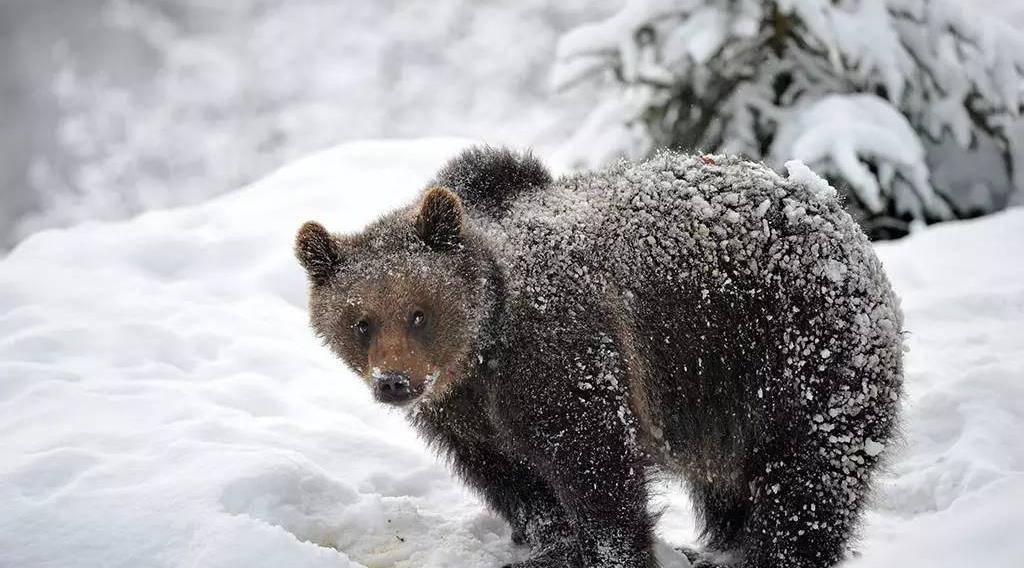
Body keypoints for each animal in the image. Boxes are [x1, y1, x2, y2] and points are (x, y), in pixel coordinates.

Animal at [296, 147, 905, 568]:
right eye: (361, 321)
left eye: (419, 312)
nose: (394, 381)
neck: (480, 355)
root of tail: (833, 208)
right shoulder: (466, 419)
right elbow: (515, 482)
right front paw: (550, 545)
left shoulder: (561, 356)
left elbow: (595, 467)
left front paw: (614, 550)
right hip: (723, 394)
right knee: (732, 481)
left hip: (791, 345)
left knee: (810, 474)